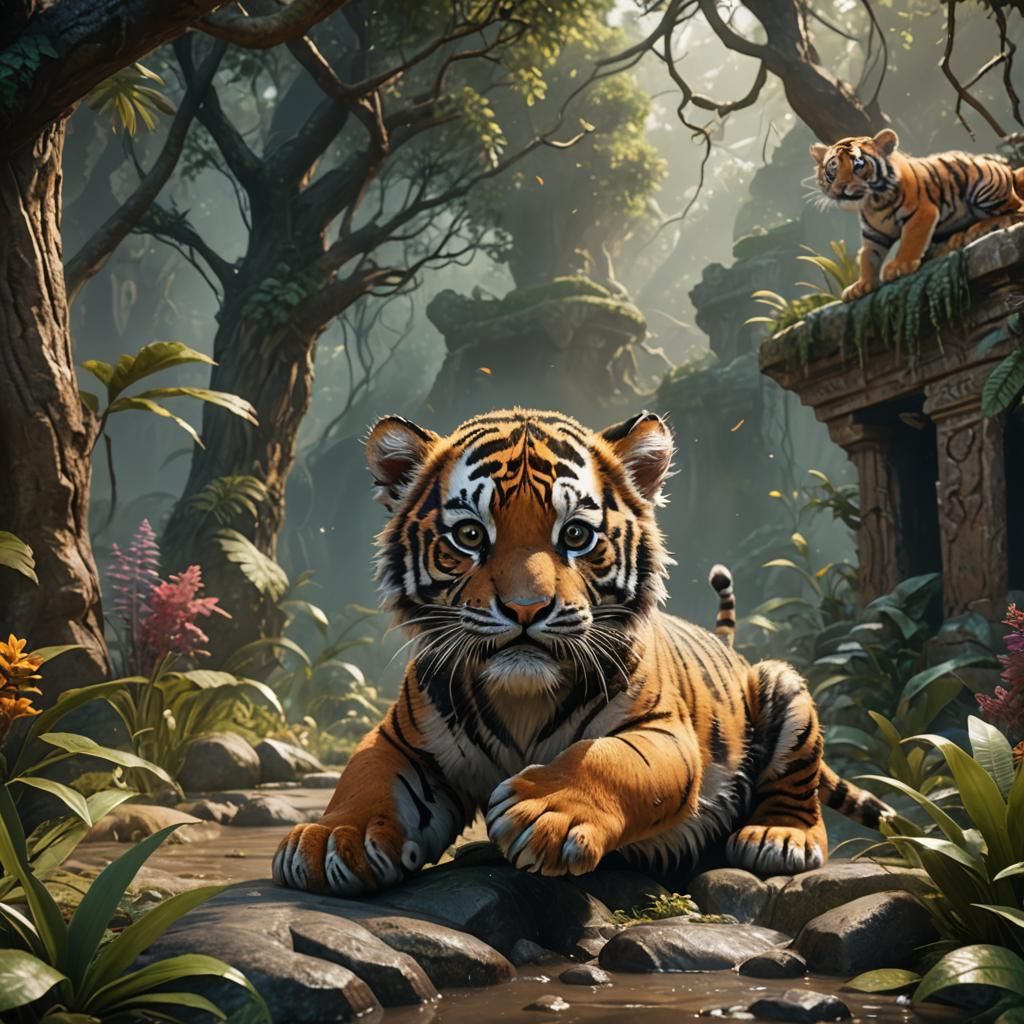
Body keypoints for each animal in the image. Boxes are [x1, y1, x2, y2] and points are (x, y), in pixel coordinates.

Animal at [273, 408, 892, 897]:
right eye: (470, 536)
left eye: (575, 535)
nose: (525, 608)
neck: (520, 696)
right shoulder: (401, 739)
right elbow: (365, 776)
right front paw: (334, 838)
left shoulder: (663, 731)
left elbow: (610, 761)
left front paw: (545, 813)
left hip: (782, 686)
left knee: (798, 784)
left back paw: (780, 838)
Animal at [811, 128, 1024, 302]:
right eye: (833, 167)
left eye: (859, 165)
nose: (840, 187)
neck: (874, 202)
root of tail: (1009, 170)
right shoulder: (873, 235)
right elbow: (867, 258)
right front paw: (861, 285)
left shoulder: (921, 213)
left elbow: (910, 240)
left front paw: (900, 266)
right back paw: (957, 239)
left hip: (984, 189)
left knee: (1017, 209)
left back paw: (979, 229)